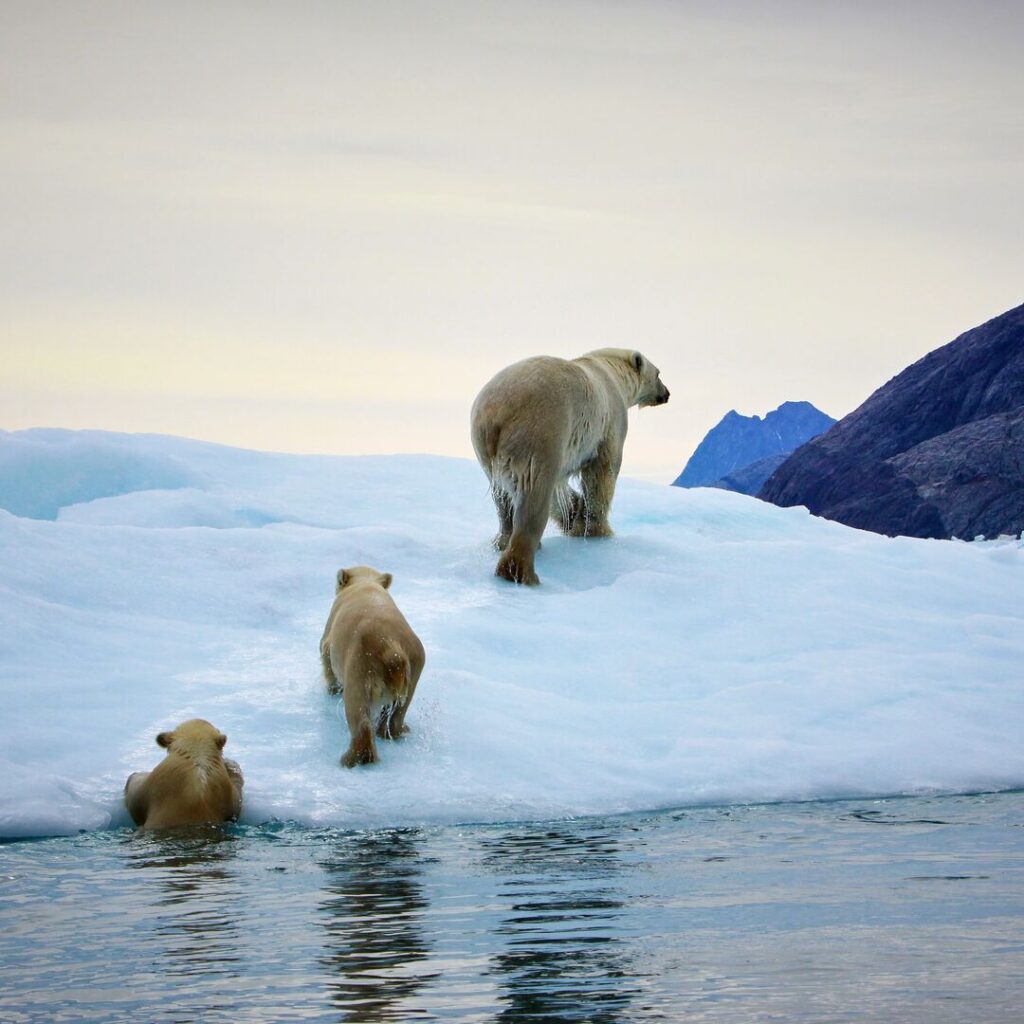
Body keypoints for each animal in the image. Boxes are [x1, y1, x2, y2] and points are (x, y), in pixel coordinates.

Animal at [319, 569, 423, 770]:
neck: (364, 583)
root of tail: (392, 648)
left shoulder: (331, 627)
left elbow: (325, 653)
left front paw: (332, 689)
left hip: (360, 666)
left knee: (357, 712)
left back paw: (351, 758)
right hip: (415, 663)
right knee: (398, 710)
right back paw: (396, 730)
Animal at [471, 348, 671, 585]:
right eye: (658, 373)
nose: (667, 393)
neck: (613, 371)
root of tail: (496, 414)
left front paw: (576, 513)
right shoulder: (610, 422)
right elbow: (602, 474)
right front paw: (597, 530)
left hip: (487, 452)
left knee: (503, 497)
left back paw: (503, 541)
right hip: (539, 433)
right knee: (534, 495)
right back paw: (522, 571)